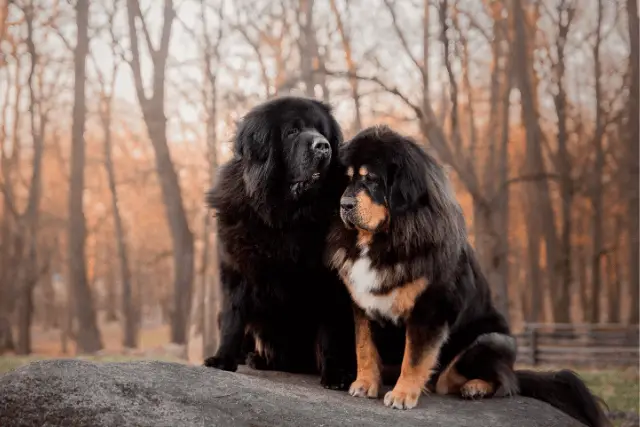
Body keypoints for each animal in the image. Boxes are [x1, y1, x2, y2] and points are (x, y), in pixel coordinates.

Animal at [202, 95, 356, 390]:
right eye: (292, 131)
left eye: (321, 131)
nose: (323, 146)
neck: (286, 217)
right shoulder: (236, 270)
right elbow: (232, 318)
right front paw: (222, 359)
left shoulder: (330, 282)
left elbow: (331, 331)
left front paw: (335, 374)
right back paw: (254, 358)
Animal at [324, 125, 608, 426]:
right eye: (348, 180)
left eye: (372, 179)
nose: (345, 204)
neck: (386, 239)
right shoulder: (362, 304)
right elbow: (365, 348)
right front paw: (365, 384)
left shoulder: (430, 307)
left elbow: (414, 357)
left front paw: (402, 395)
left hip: (490, 341)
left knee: (500, 381)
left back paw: (475, 387)